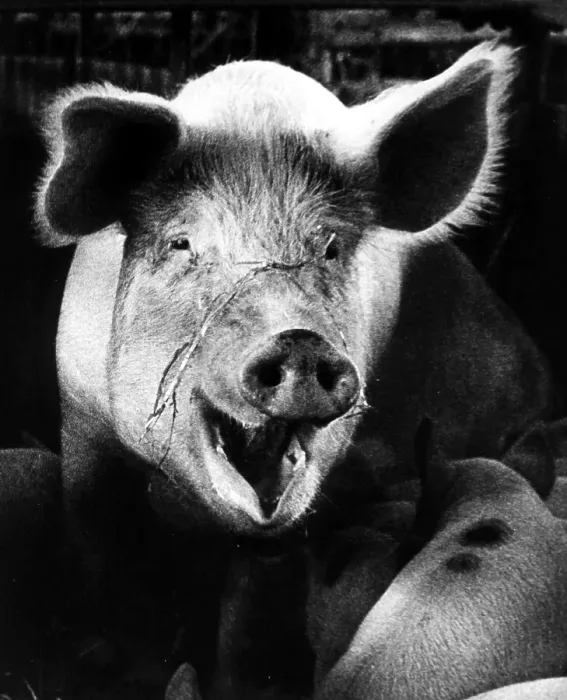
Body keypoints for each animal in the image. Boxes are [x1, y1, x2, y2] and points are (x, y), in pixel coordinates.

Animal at [34, 41, 552, 677]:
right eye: (182, 243)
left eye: (330, 247)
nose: (299, 341)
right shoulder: (79, 418)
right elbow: (95, 546)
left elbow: (247, 607)